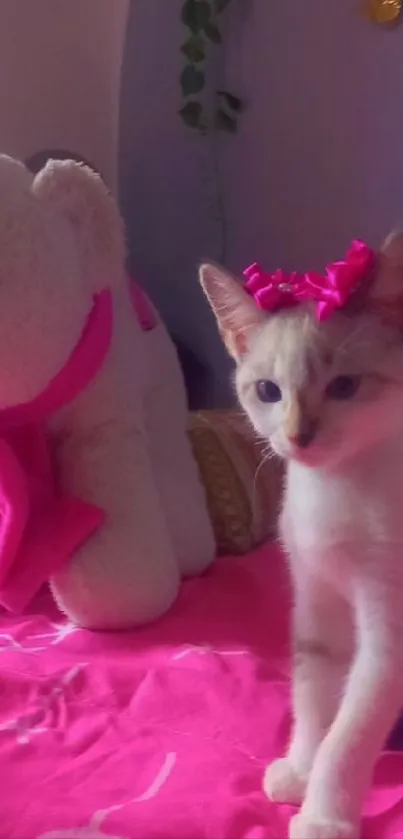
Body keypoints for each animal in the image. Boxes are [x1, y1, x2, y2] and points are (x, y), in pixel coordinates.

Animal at [201, 233, 403, 839]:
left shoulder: (389, 632)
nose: (298, 436)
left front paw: (324, 815)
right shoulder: (316, 596)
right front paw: (300, 768)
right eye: (269, 391)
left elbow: (351, 731)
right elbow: (312, 697)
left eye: (344, 387)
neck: (334, 490)